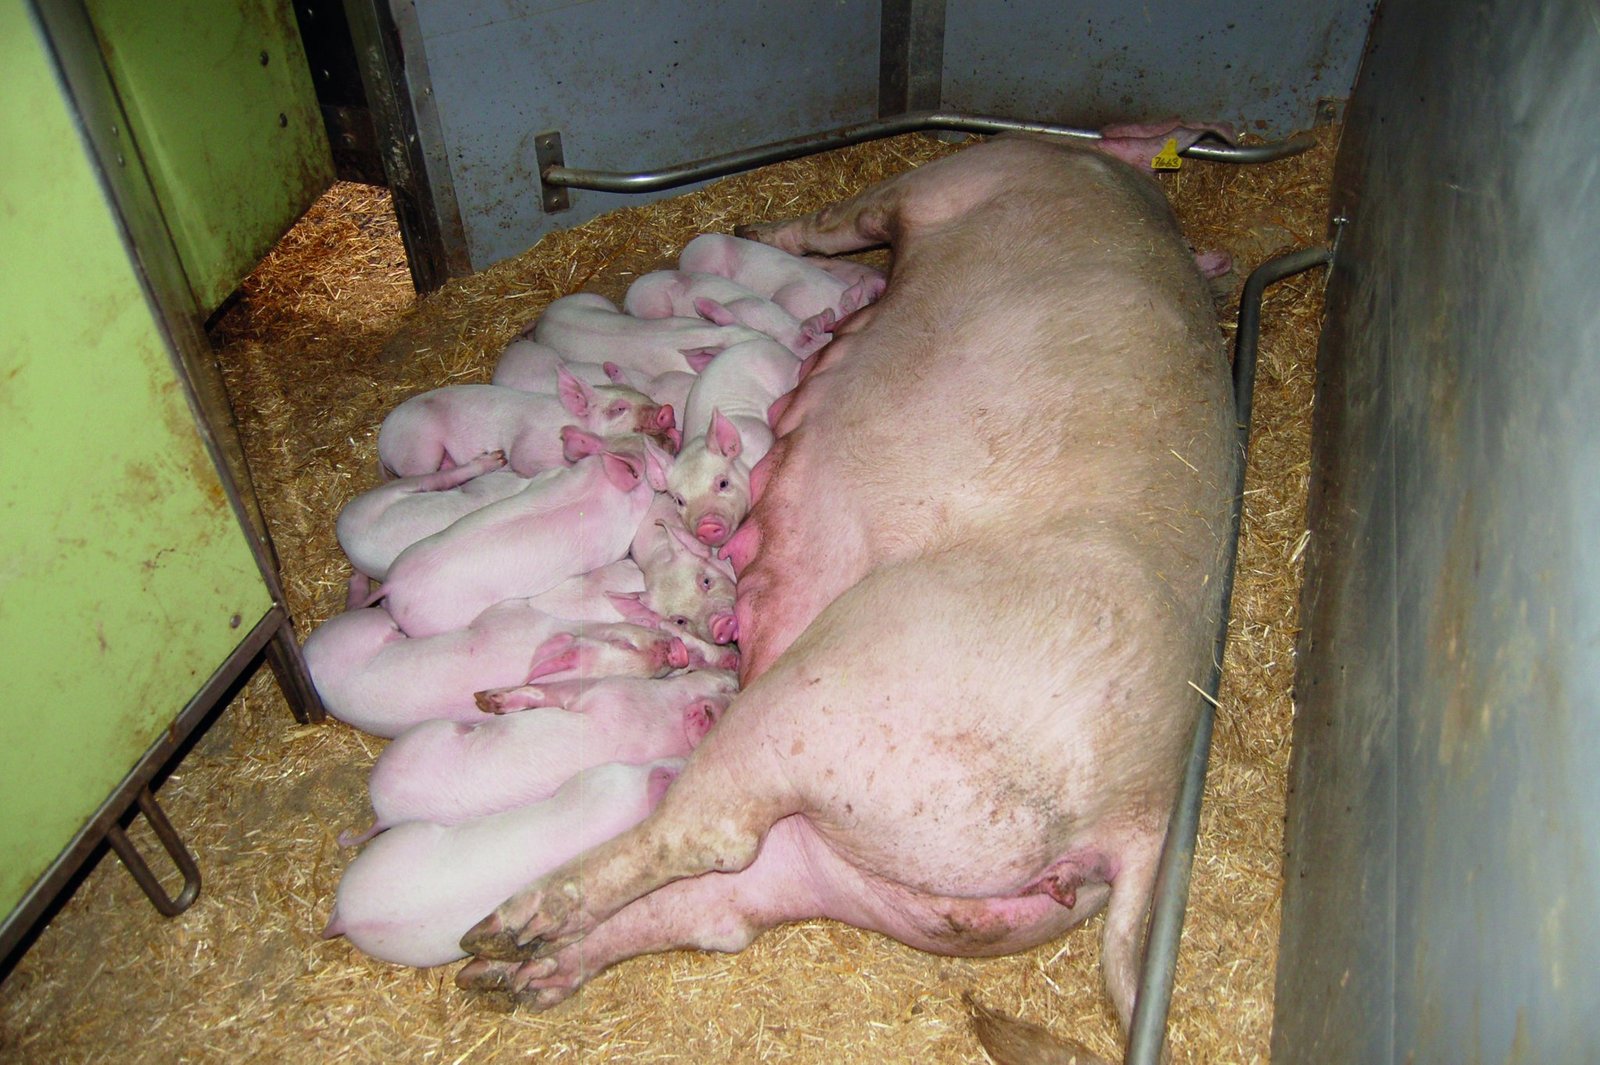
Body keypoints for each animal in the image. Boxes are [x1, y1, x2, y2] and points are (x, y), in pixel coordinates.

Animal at [356, 671, 738, 835]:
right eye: (729, 686)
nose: (731, 671)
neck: (660, 719)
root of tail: (383, 810)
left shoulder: (607, 693)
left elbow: (551, 691)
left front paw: (488, 699)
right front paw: (488, 700)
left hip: (426, 734)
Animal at [376, 371, 670, 479]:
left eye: (645, 396)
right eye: (619, 409)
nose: (666, 411)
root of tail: (381, 442)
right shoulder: (527, 449)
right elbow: (524, 461)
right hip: (418, 449)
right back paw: (495, 460)